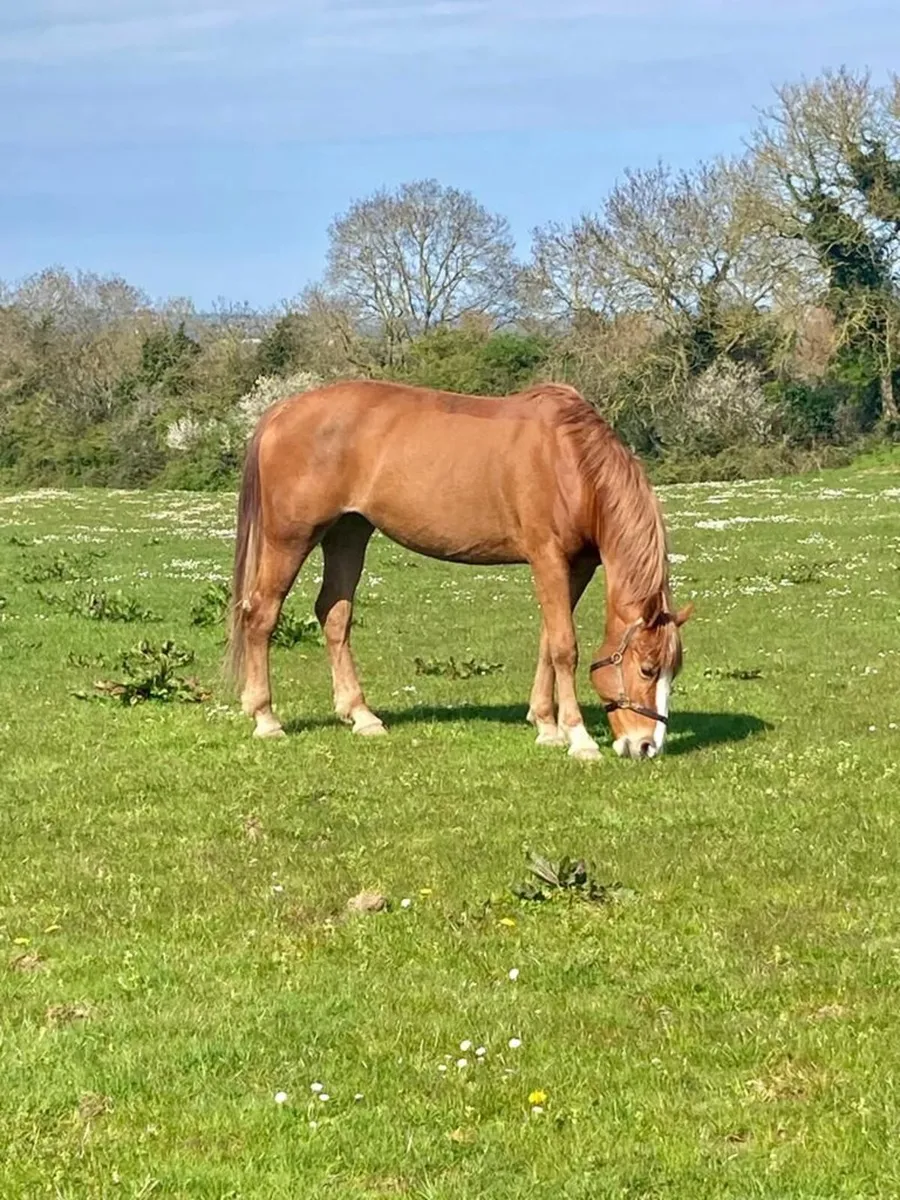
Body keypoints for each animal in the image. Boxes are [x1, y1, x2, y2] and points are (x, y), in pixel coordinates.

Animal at [226, 379, 692, 760]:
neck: (572, 463)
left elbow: (548, 640)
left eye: (674, 669)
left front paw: (546, 724)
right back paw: (266, 718)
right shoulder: (547, 559)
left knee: (334, 615)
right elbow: (564, 646)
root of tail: (282, 411)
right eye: (648, 668)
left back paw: (361, 715)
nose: (647, 746)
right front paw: (578, 738)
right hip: (291, 538)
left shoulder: (576, 568)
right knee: (261, 614)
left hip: (348, 533)